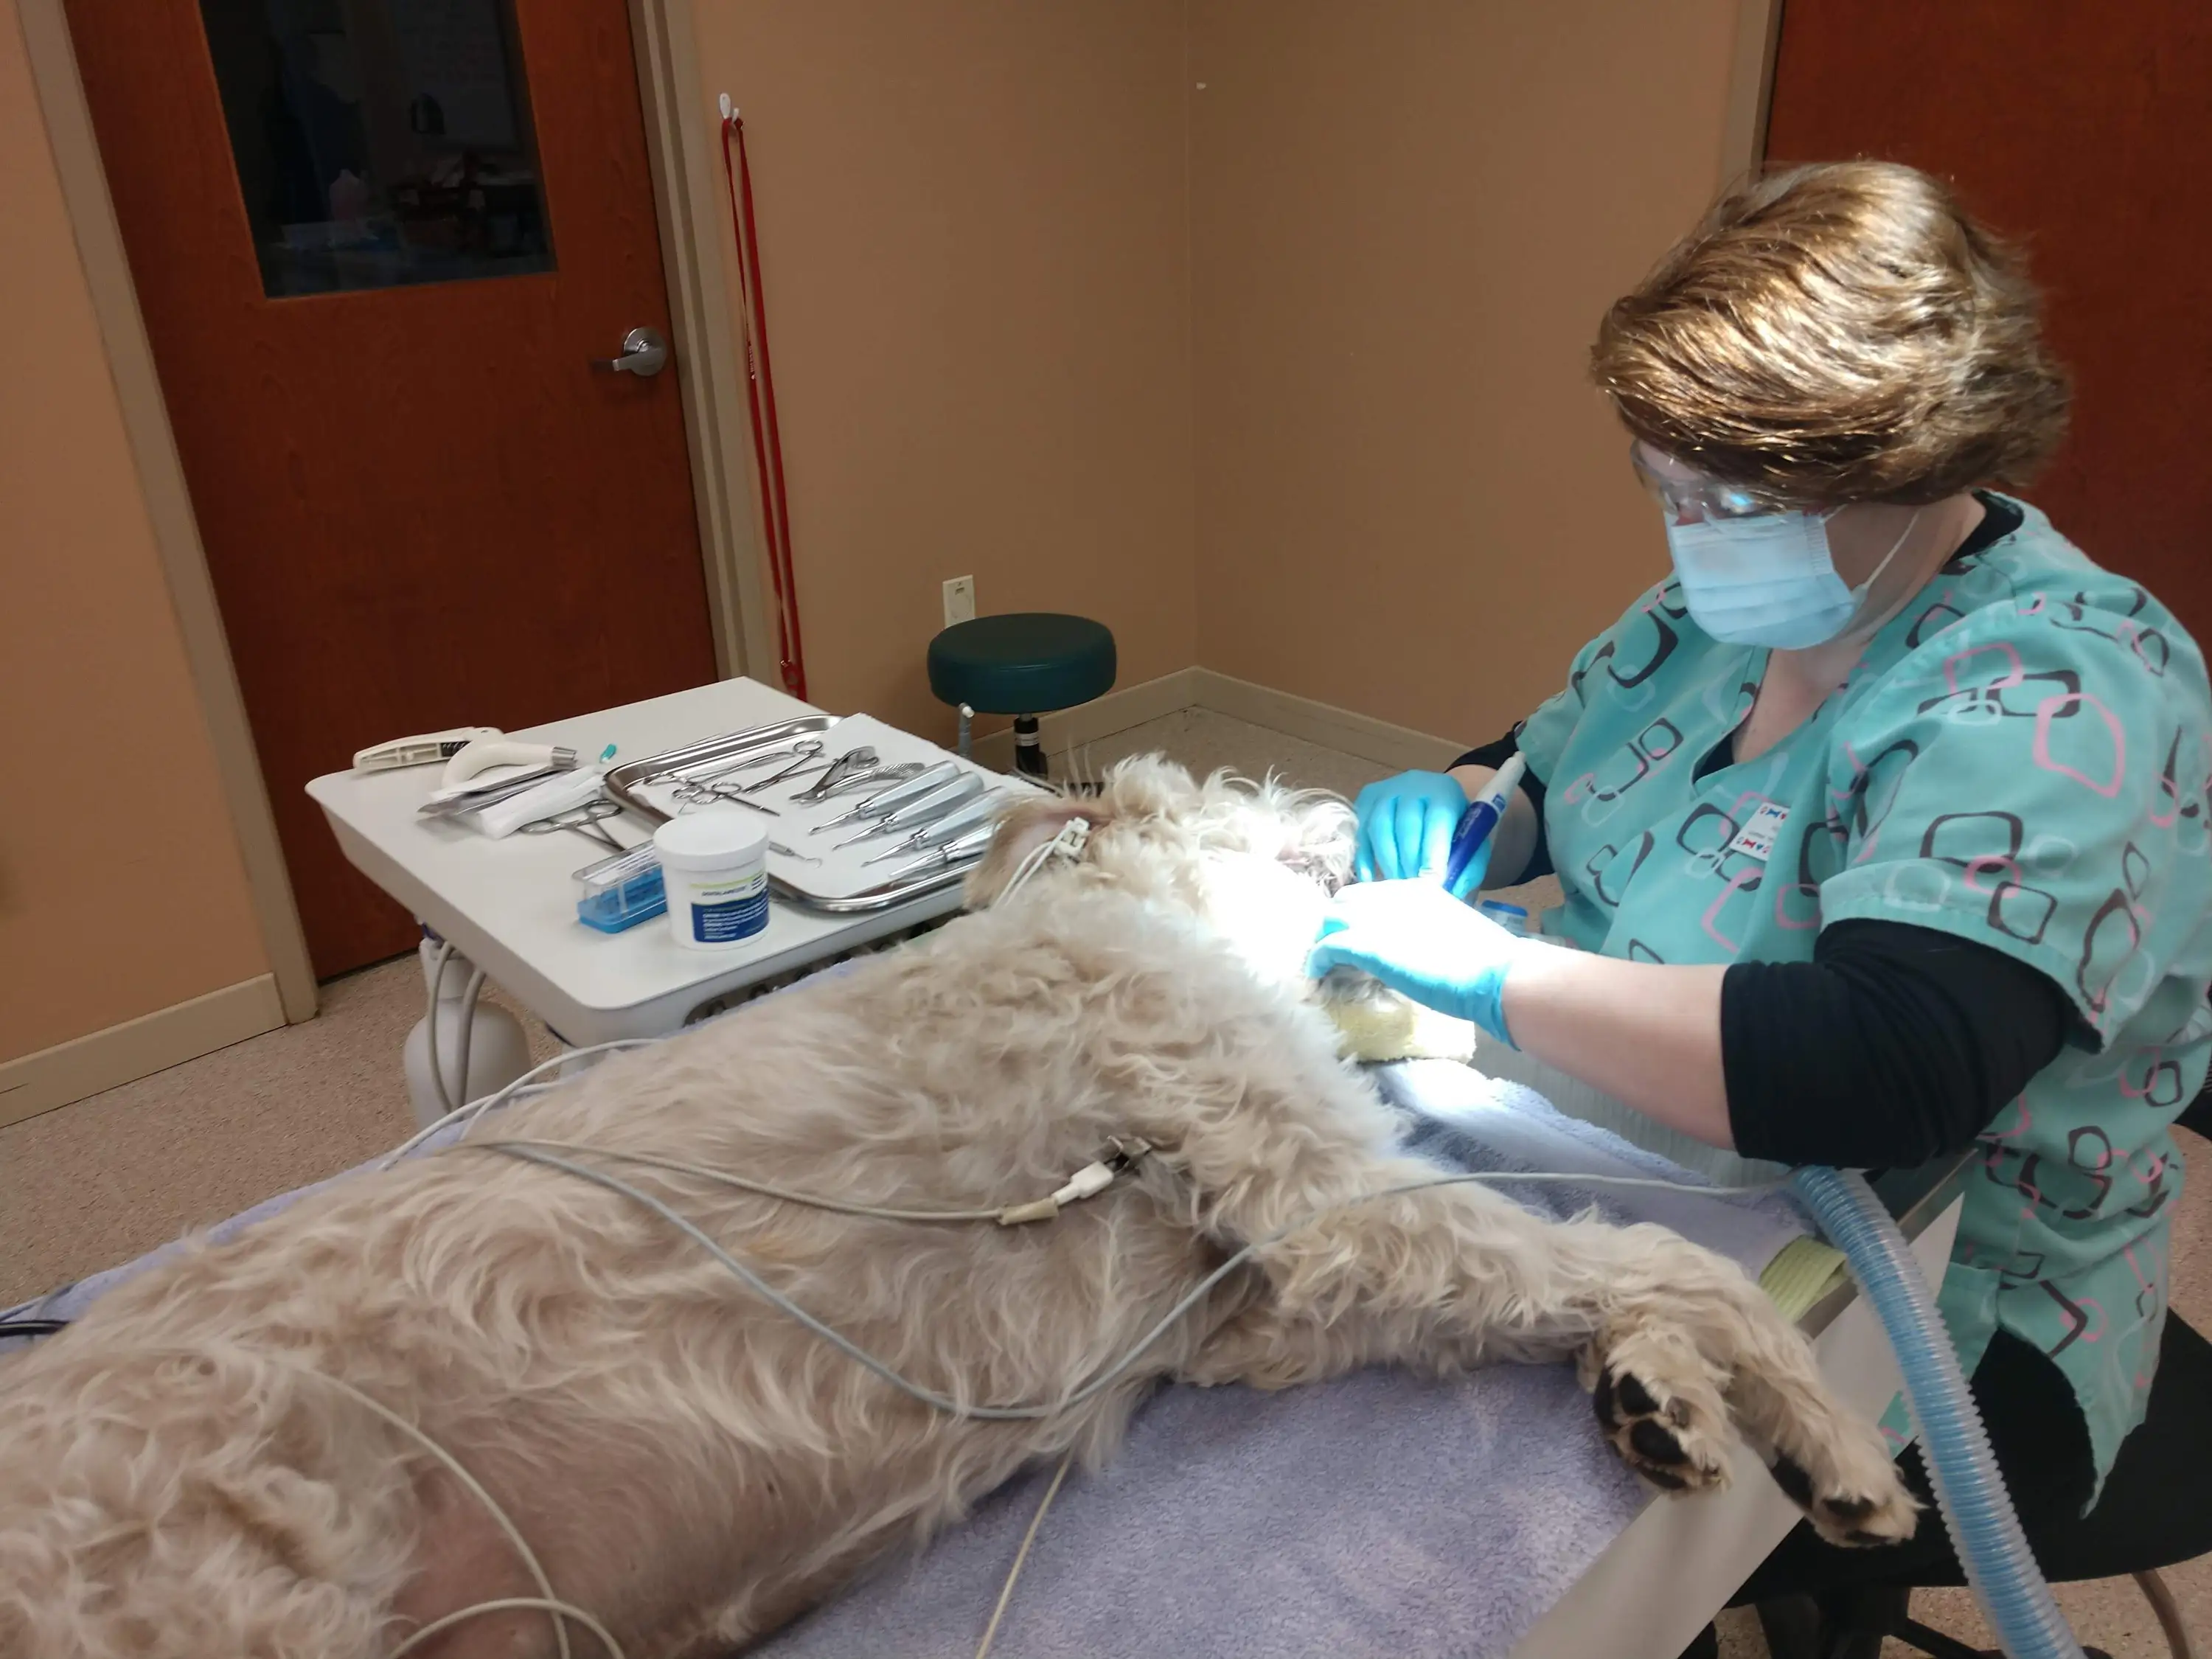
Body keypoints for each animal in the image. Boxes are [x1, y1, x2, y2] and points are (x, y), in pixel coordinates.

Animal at [0, 765, 1911, 1659]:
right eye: (1260, 796)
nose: (1394, 824)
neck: (1144, 909)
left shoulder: (1253, 1307)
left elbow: (1564, 1271)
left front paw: (1654, 1394)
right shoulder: (1318, 1193)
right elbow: (1646, 1249)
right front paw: (1828, 1441)